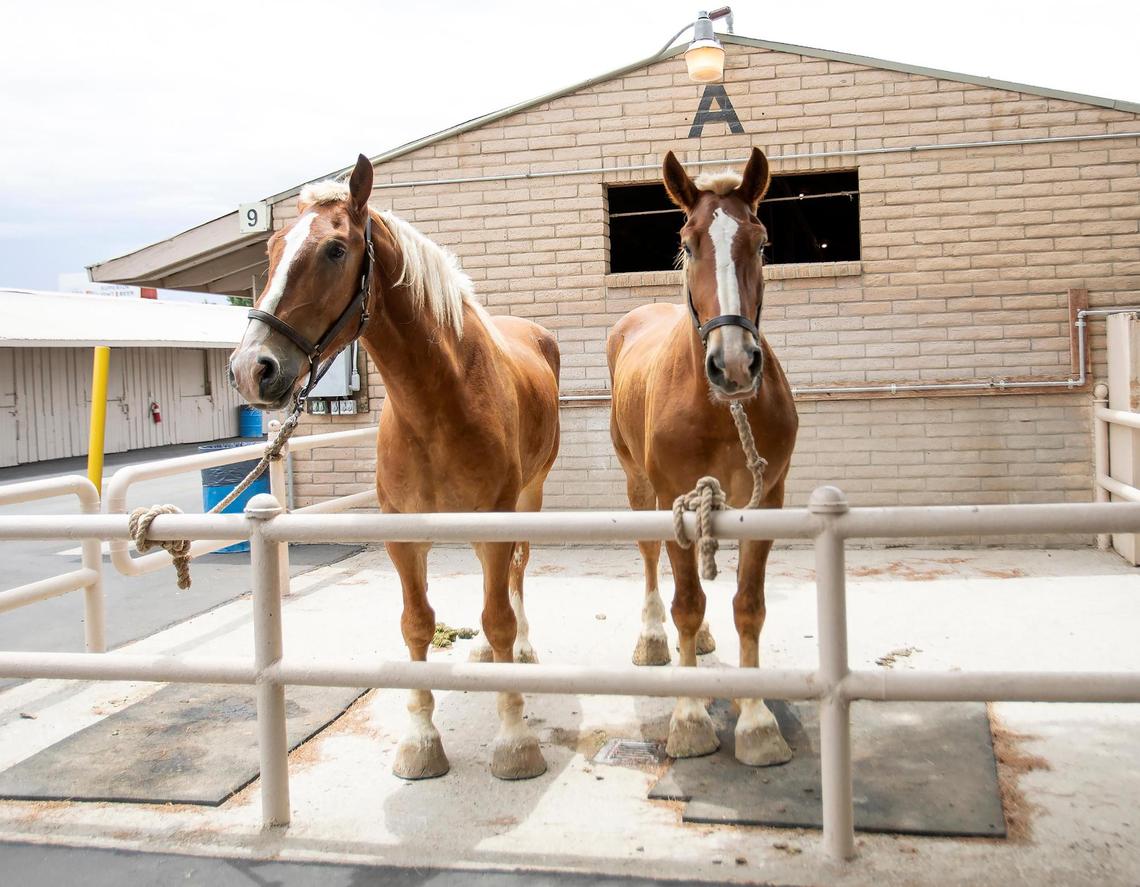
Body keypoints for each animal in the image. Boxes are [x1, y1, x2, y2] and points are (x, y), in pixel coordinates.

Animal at [229, 155, 561, 781]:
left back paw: (523, 649)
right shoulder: (403, 537)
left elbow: (500, 615)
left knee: (517, 574)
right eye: (273, 248)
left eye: (335, 250)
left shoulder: (497, 520)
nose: (250, 369)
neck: (440, 402)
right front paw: (421, 741)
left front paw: (513, 741)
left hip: (529, 497)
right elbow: (417, 623)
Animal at [606, 147, 798, 765]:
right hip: (640, 487)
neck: (717, 408)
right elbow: (686, 601)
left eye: (760, 242)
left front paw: (757, 722)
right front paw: (689, 719)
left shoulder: (769, 499)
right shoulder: (673, 497)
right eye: (689, 244)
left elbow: (748, 604)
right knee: (653, 561)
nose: (733, 364)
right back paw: (651, 638)